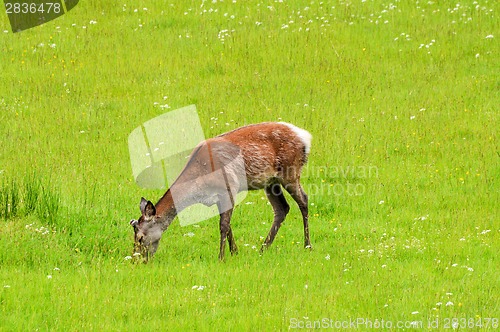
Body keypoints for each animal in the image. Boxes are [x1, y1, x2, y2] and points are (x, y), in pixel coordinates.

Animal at [130, 122, 312, 262]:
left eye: (140, 237)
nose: (136, 260)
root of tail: (305, 137)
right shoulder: (217, 197)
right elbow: (228, 225)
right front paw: (235, 252)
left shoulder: (229, 187)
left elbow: (223, 225)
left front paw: (221, 257)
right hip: (271, 182)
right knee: (282, 208)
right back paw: (263, 249)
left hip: (290, 172)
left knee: (304, 200)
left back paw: (307, 246)